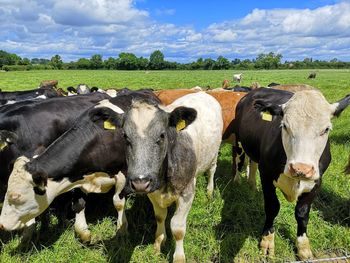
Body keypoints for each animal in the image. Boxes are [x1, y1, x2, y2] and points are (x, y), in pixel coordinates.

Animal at [232, 88, 350, 260]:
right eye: (285, 126)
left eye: (326, 129)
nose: (301, 168)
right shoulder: (266, 174)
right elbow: (272, 207)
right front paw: (267, 240)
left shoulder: (317, 182)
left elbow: (302, 213)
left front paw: (303, 246)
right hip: (239, 141)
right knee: (238, 158)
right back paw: (236, 181)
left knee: (252, 163)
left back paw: (252, 185)